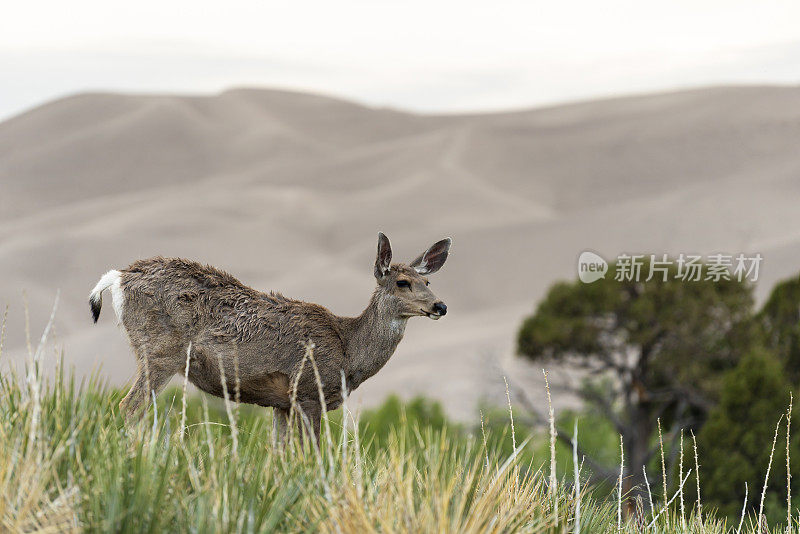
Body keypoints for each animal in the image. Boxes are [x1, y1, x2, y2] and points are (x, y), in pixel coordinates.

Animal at [89, 234, 450, 444]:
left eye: (427, 281)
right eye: (402, 282)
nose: (440, 306)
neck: (348, 352)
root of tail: (118, 277)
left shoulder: (282, 402)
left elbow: (279, 452)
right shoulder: (309, 390)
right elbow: (312, 453)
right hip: (160, 350)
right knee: (129, 405)